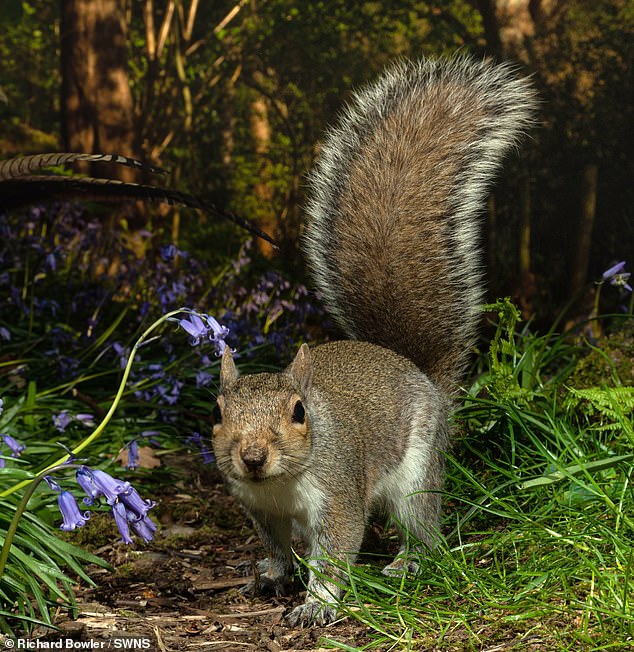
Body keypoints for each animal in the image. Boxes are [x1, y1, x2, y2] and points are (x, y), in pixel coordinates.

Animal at [212, 55, 536, 627]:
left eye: (298, 412)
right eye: (218, 411)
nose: (251, 457)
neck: (279, 485)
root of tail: (418, 372)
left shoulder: (339, 491)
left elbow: (338, 548)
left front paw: (317, 604)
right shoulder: (258, 509)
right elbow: (277, 546)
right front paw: (273, 573)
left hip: (417, 470)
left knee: (422, 523)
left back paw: (410, 562)